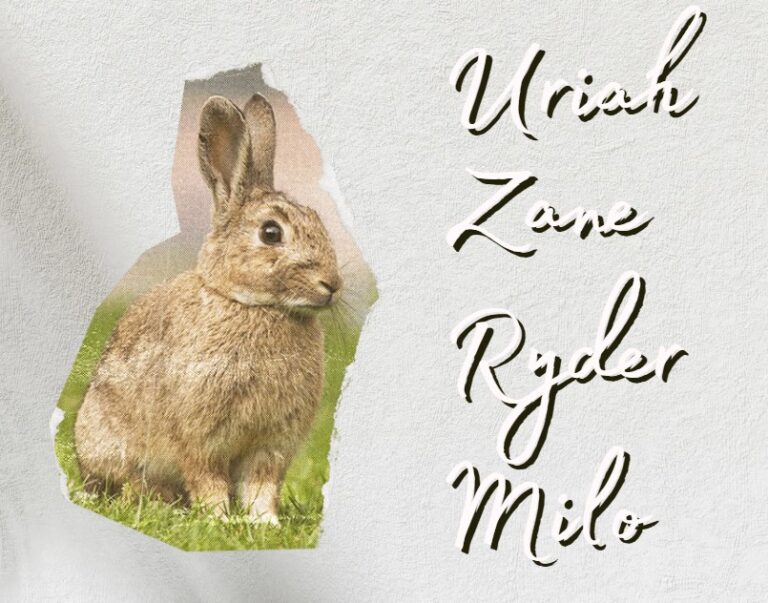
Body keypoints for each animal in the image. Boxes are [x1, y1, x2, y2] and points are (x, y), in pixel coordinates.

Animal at [74, 93, 342, 525]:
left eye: (318, 219)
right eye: (271, 233)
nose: (332, 285)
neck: (252, 304)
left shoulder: (271, 444)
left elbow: (261, 485)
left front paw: (264, 523)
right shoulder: (201, 437)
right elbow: (207, 479)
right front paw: (220, 518)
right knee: (128, 484)